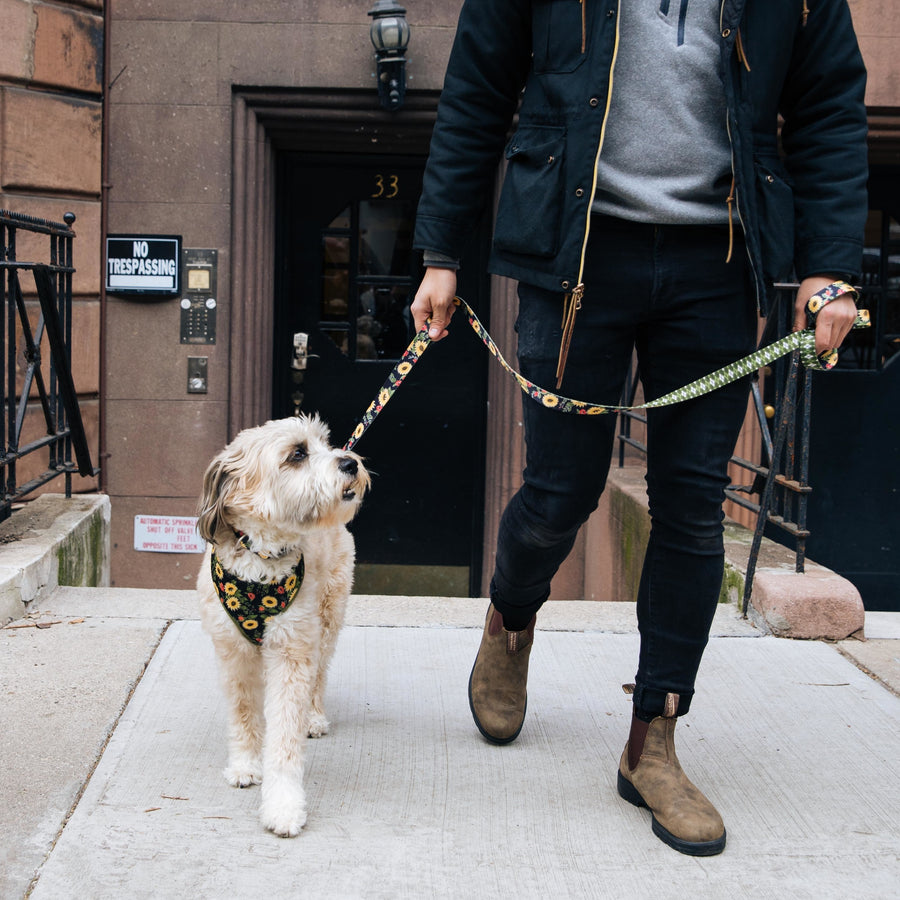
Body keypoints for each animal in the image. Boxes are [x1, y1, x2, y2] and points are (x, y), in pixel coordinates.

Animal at [196, 414, 370, 836]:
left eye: (324, 443)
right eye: (297, 454)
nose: (350, 461)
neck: (262, 556)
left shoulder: (292, 652)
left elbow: (285, 740)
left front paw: (283, 806)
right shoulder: (233, 653)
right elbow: (244, 713)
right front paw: (245, 764)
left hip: (327, 618)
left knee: (319, 676)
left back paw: (315, 717)